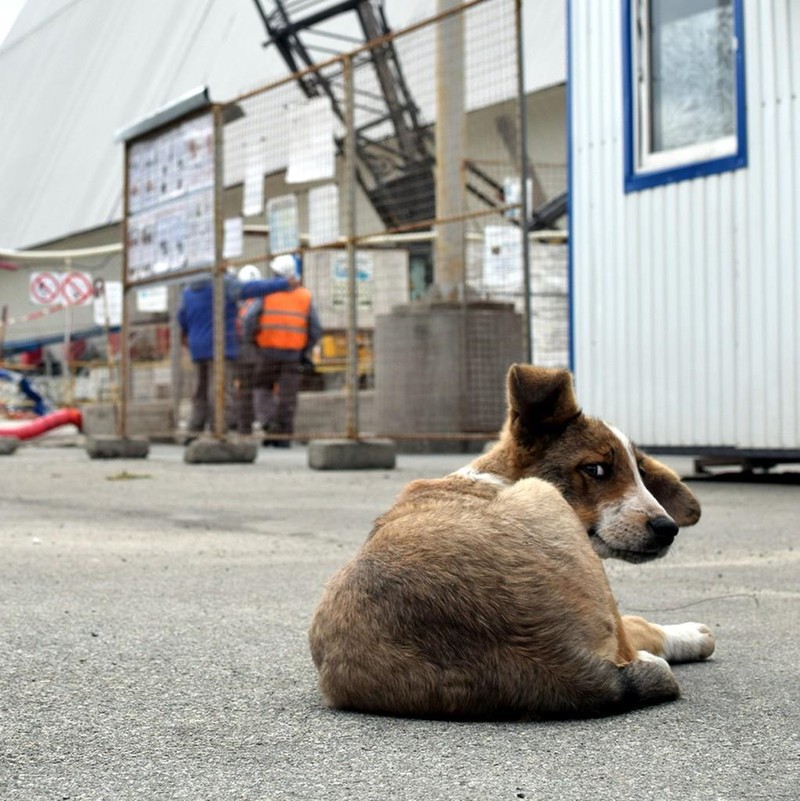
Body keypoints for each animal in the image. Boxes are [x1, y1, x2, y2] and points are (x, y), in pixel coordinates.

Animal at [308, 362, 712, 720]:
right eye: (595, 469)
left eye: (640, 474)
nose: (667, 527)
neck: (495, 478)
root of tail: (558, 664)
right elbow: (637, 625)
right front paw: (691, 634)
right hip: (546, 498)